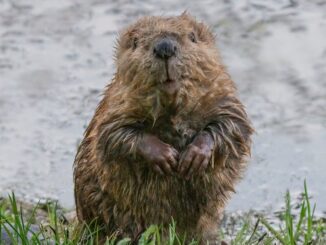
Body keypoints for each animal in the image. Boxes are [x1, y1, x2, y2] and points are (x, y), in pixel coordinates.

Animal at [73, 12, 252, 243]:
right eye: (136, 42)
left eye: (192, 36)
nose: (164, 47)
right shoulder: (115, 104)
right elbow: (113, 136)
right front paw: (166, 157)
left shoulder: (222, 95)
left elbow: (233, 125)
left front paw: (192, 158)